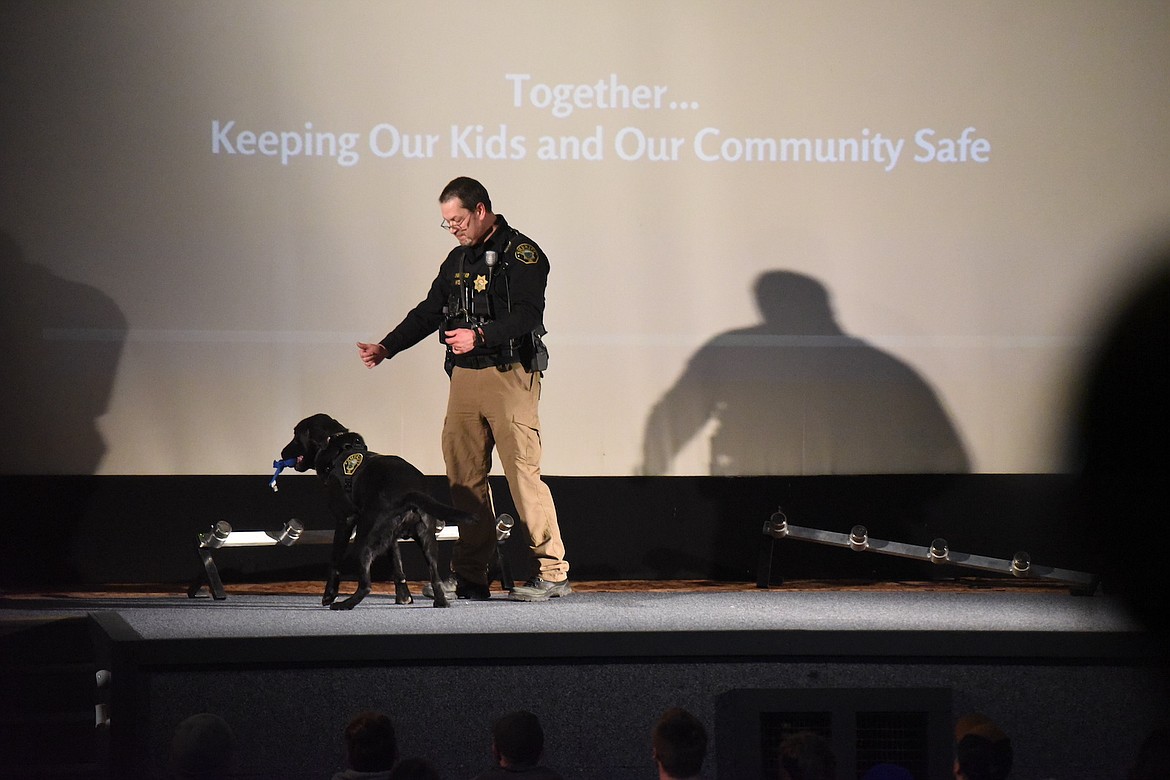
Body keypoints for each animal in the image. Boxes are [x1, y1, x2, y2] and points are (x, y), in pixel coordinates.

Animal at [279, 413, 475, 608]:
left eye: (296, 435)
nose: (281, 453)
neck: (336, 447)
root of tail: (409, 492)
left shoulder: (344, 520)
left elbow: (335, 560)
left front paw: (329, 595)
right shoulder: (391, 539)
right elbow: (397, 565)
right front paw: (403, 597)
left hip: (363, 539)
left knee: (366, 585)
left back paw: (345, 604)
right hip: (427, 540)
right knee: (435, 577)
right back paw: (440, 601)